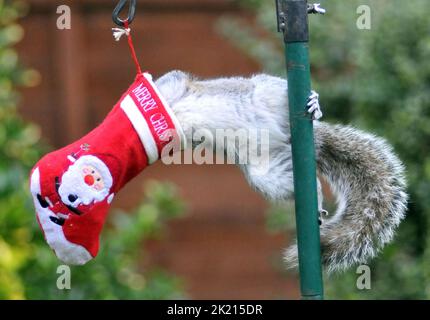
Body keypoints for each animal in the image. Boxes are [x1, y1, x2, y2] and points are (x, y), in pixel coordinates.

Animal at [154, 70, 406, 272]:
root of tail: (285, 136)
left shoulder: (178, 84)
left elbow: (170, 80)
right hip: (269, 173)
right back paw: (316, 198)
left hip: (269, 94)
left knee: (282, 93)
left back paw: (315, 106)